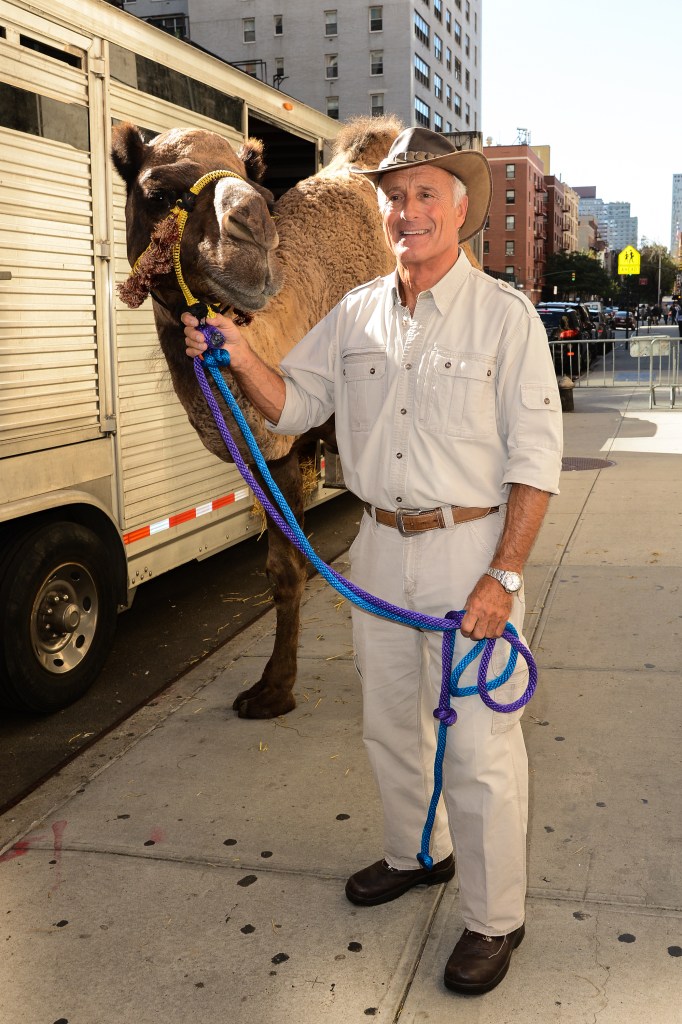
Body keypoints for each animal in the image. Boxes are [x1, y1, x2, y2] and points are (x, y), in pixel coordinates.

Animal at [109, 116, 401, 716]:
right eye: (158, 194)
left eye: (263, 193)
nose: (253, 230)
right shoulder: (274, 453)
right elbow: (285, 567)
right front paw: (275, 688)